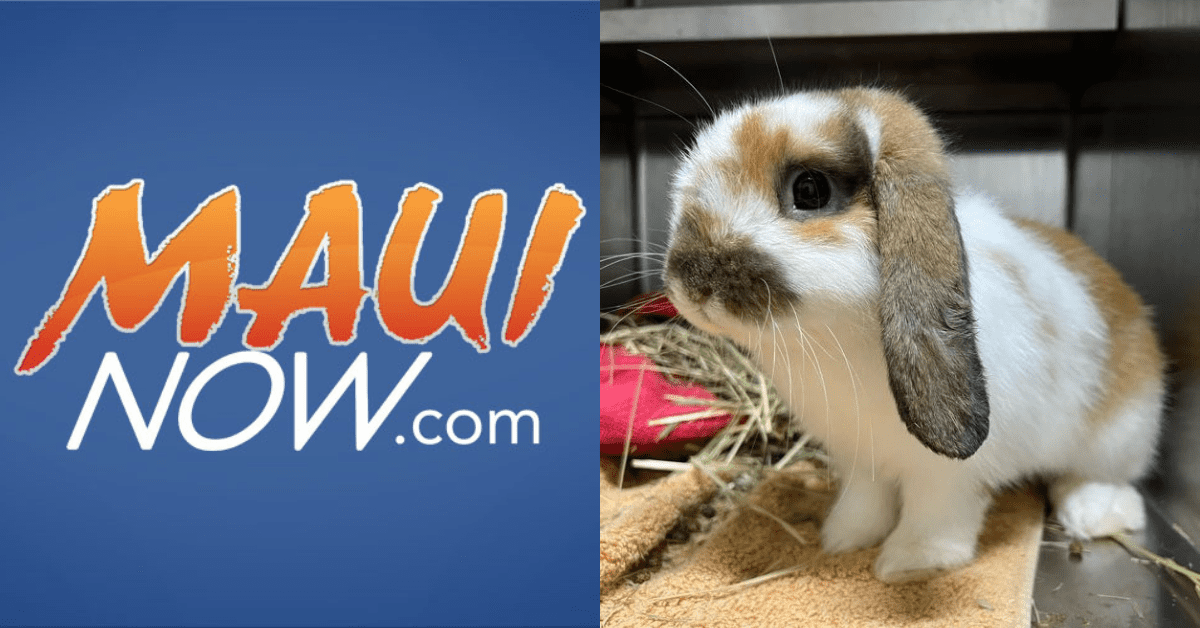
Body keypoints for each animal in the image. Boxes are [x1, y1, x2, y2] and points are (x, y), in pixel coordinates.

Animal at [661, 87, 1165, 583]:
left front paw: (912, 563)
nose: (692, 279)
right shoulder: (859, 457)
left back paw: (1093, 513)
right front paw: (842, 538)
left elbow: (934, 513)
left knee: (1098, 475)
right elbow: (865, 499)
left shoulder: (948, 475)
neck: (836, 337)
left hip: (1118, 433)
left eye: (810, 190)